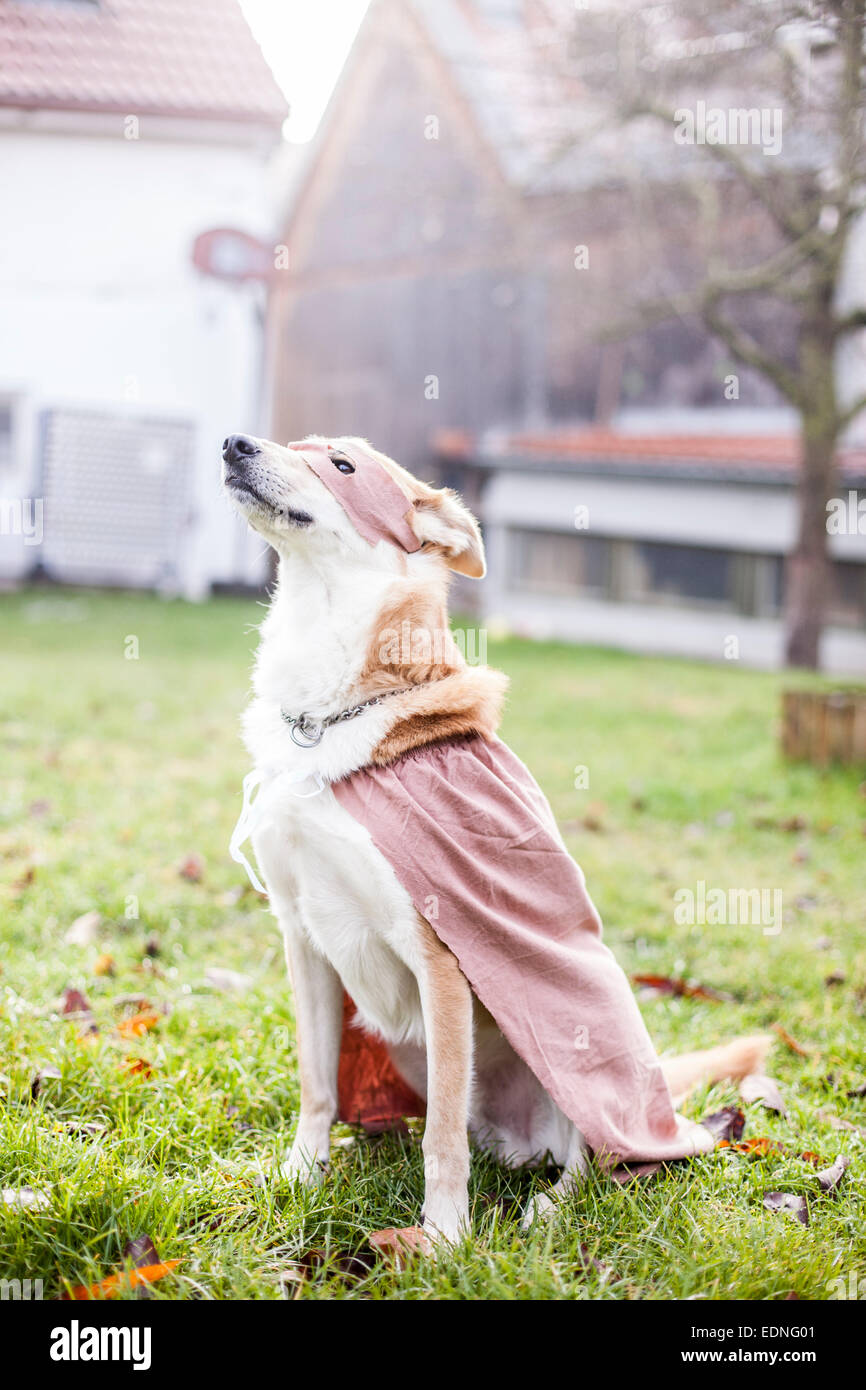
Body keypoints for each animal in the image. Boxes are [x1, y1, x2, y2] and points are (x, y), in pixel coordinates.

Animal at [223, 428, 772, 1245]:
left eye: (343, 465)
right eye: (297, 445)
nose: (235, 444)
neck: (332, 720)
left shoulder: (440, 956)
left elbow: (440, 1135)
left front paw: (445, 1238)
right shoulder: (304, 938)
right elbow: (318, 1085)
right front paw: (300, 1174)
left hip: (571, 1057)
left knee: (598, 1155)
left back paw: (550, 1205)